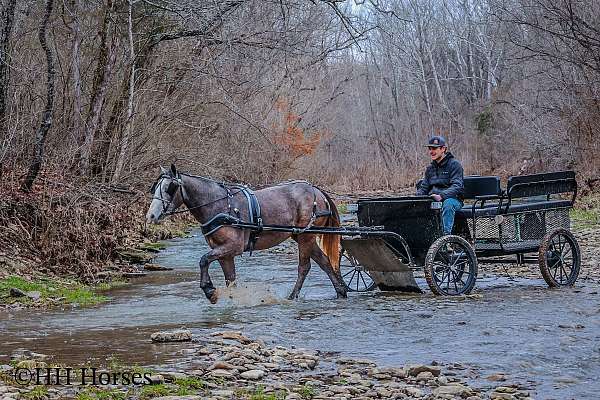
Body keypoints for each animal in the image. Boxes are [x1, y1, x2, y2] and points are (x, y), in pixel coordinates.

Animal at [145, 163, 346, 304]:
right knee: (325, 262)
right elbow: (230, 280)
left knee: (304, 267)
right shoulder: (224, 253)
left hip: (306, 235)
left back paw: (293, 297)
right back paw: (341, 291)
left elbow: (203, 260)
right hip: (303, 236)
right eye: (155, 187)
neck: (218, 205)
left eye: (170, 188)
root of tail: (317, 190)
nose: (151, 215)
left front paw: (209, 290)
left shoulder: (233, 247)